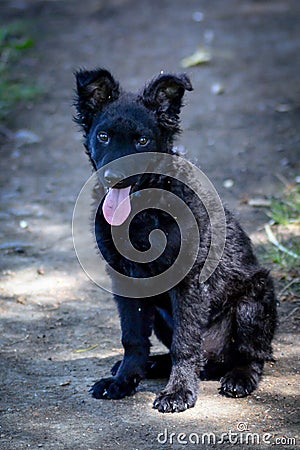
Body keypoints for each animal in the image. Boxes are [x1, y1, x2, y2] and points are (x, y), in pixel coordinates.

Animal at [74, 68, 278, 414]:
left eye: (143, 140)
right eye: (103, 136)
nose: (114, 177)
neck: (143, 213)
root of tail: (216, 361)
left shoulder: (188, 280)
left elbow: (186, 343)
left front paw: (179, 392)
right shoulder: (124, 280)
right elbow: (133, 338)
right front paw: (123, 380)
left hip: (255, 298)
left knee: (251, 355)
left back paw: (238, 378)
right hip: (161, 315)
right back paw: (154, 365)